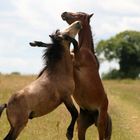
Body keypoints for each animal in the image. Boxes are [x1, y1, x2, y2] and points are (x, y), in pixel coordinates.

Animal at [61, 11, 112, 139]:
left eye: (78, 14)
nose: (64, 13)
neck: (85, 50)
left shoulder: (75, 62)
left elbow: (73, 44)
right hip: (82, 126)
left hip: (101, 125)